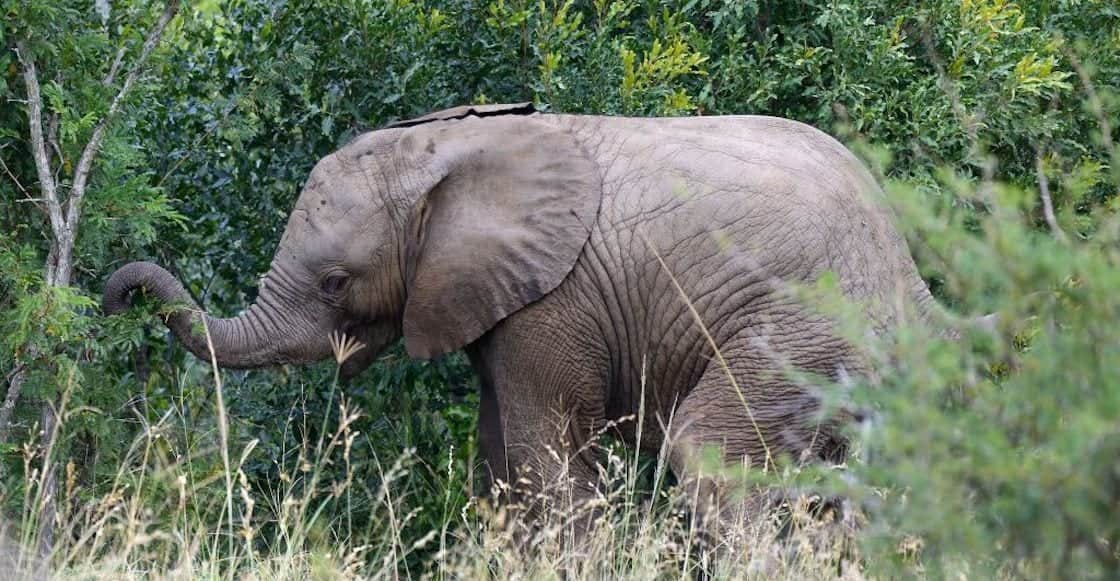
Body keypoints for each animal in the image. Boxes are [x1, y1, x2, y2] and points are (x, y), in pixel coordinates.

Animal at [104, 103, 945, 535]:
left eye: (335, 282)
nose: (116, 296)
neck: (445, 143)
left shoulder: (555, 300)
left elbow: (549, 458)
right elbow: (500, 461)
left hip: (807, 331)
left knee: (709, 453)